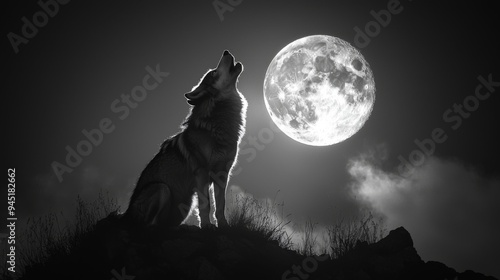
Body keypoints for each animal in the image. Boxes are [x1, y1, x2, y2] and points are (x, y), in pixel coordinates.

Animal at [125, 50, 246, 229]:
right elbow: (206, 204)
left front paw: (223, 225)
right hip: (162, 188)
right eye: (213, 73)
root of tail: (125, 215)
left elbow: (220, 204)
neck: (218, 125)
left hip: (185, 205)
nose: (226, 51)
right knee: (149, 225)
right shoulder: (202, 172)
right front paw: (207, 225)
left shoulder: (222, 173)